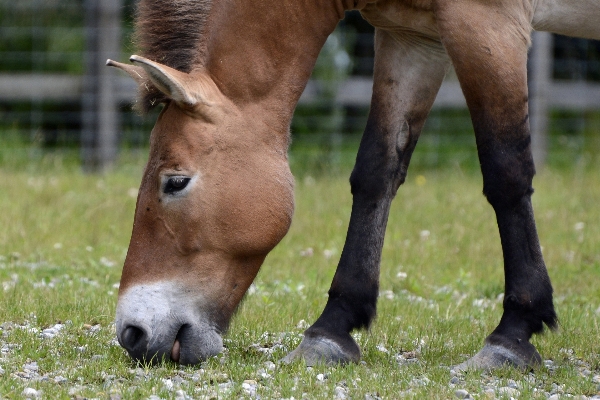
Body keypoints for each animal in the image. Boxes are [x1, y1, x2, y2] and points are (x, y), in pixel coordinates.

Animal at [108, 0, 600, 368]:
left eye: (176, 182)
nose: (132, 333)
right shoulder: (411, 38)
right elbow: (376, 173)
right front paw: (332, 329)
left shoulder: (487, 25)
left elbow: (506, 172)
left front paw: (513, 335)